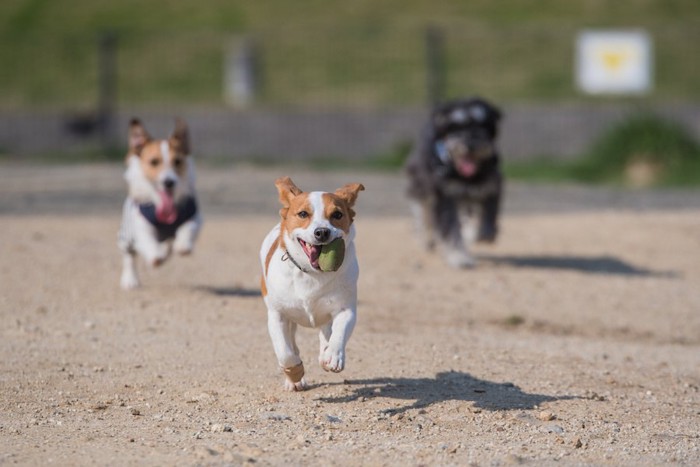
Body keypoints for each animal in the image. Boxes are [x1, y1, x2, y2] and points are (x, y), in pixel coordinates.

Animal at [117, 118, 202, 288]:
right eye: (154, 162)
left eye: (177, 161)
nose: (169, 182)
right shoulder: (141, 226)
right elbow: (147, 240)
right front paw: (155, 255)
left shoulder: (194, 216)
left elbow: (187, 228)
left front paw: (183, 245)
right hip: (126, 234)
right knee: (129, 255)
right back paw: (130, 279)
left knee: (167, 244)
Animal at [258, 177, 366, 394]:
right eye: (303, 214)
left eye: (337, 214)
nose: (322, 232)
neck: (313, 274)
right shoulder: (278, 315)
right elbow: (285, 352)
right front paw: (294, 373)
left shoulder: (346, 309)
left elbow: (339, 331)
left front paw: (332, 355)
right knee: (292, 344)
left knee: (326, 329)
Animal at [404, 97, 504, 268]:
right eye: (455, 127)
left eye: (481, 124)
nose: (470, 145)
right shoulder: (444, 196)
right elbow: (450, 227)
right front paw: (459, 257)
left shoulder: (491, 185)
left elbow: (488, 211)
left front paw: (483, 233)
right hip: (419, 185)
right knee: (423, 214)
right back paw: (427, 238)